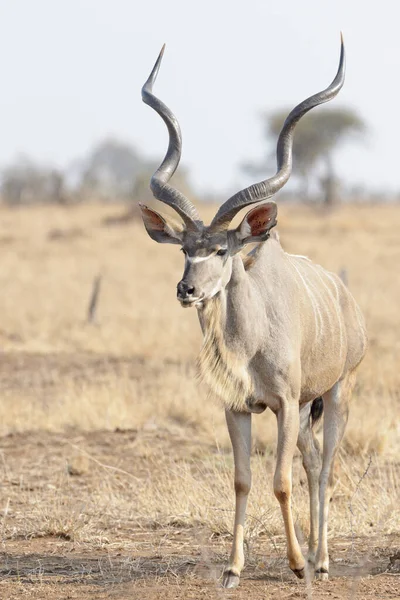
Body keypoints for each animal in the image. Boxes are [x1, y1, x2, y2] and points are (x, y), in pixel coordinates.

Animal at [139, 39, 368, 588]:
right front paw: (232, 569)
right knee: (312, 463)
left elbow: (280, 481)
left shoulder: (283, 404)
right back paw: (314, 550)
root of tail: (346, 301)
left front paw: (297, 565)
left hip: (337, 393)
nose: (186, 289)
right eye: (185, 249)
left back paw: (321, 559)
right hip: (307, 410)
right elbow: (243, 480)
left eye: (222, 250)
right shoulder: (238, 407)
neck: (251, 342)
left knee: (326, 468)